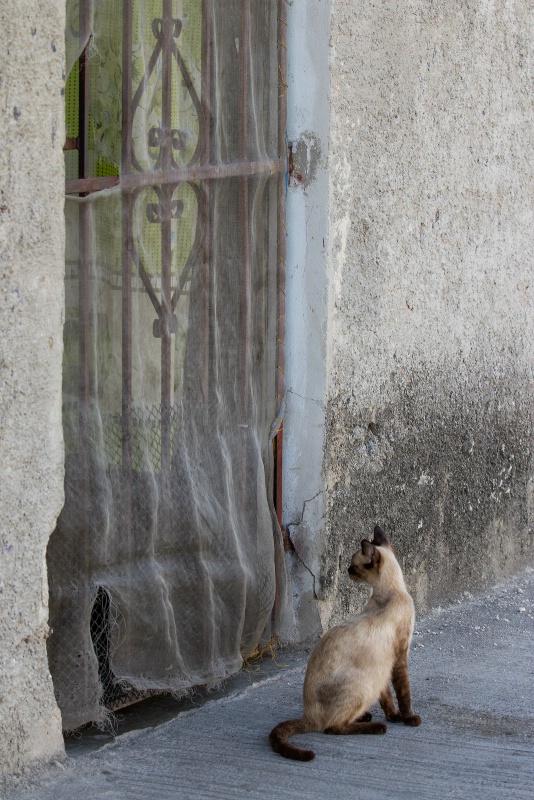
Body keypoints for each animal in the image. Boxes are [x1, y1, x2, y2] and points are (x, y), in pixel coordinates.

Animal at [272, 528, 422, 760]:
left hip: (371, 680)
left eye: (352, 564)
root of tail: (308, 715)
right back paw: (377, 727)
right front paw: (409, 719)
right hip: (362, 683)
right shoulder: (399, 657)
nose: (347, 571)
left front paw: (394, 716)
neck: (392, 591)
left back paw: (366, 717)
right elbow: (404, 693)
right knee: (331, 728)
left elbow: (388, 696)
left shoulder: (384, 668)